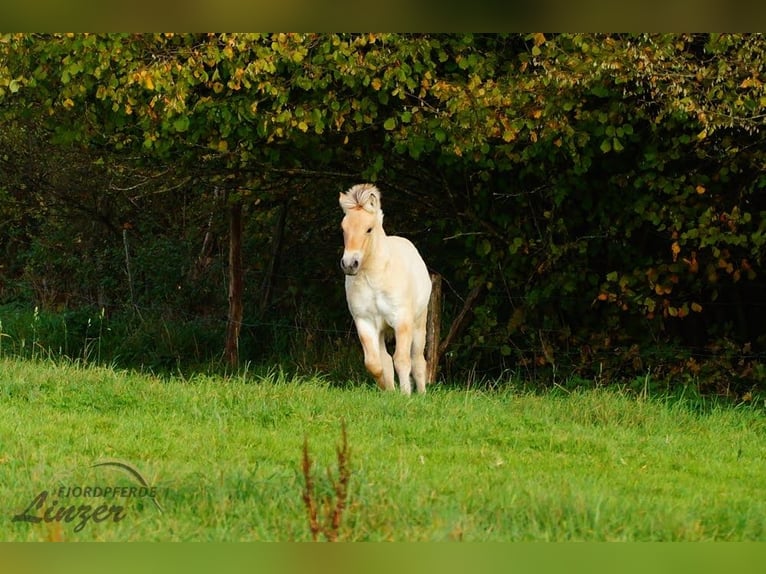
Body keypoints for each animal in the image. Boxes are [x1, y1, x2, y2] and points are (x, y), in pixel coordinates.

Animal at [339, 183, 432, 395]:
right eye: (343, 228)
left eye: (368, 229)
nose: (349, 264)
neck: (376, 278)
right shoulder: (365, 322)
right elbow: (375, 364)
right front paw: (388, 390)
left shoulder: (402, 321)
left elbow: (402, 360)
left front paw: (406, 394)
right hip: (381, 330)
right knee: (385, 359)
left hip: (419, 325)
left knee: (418, 361)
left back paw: (422, 393)